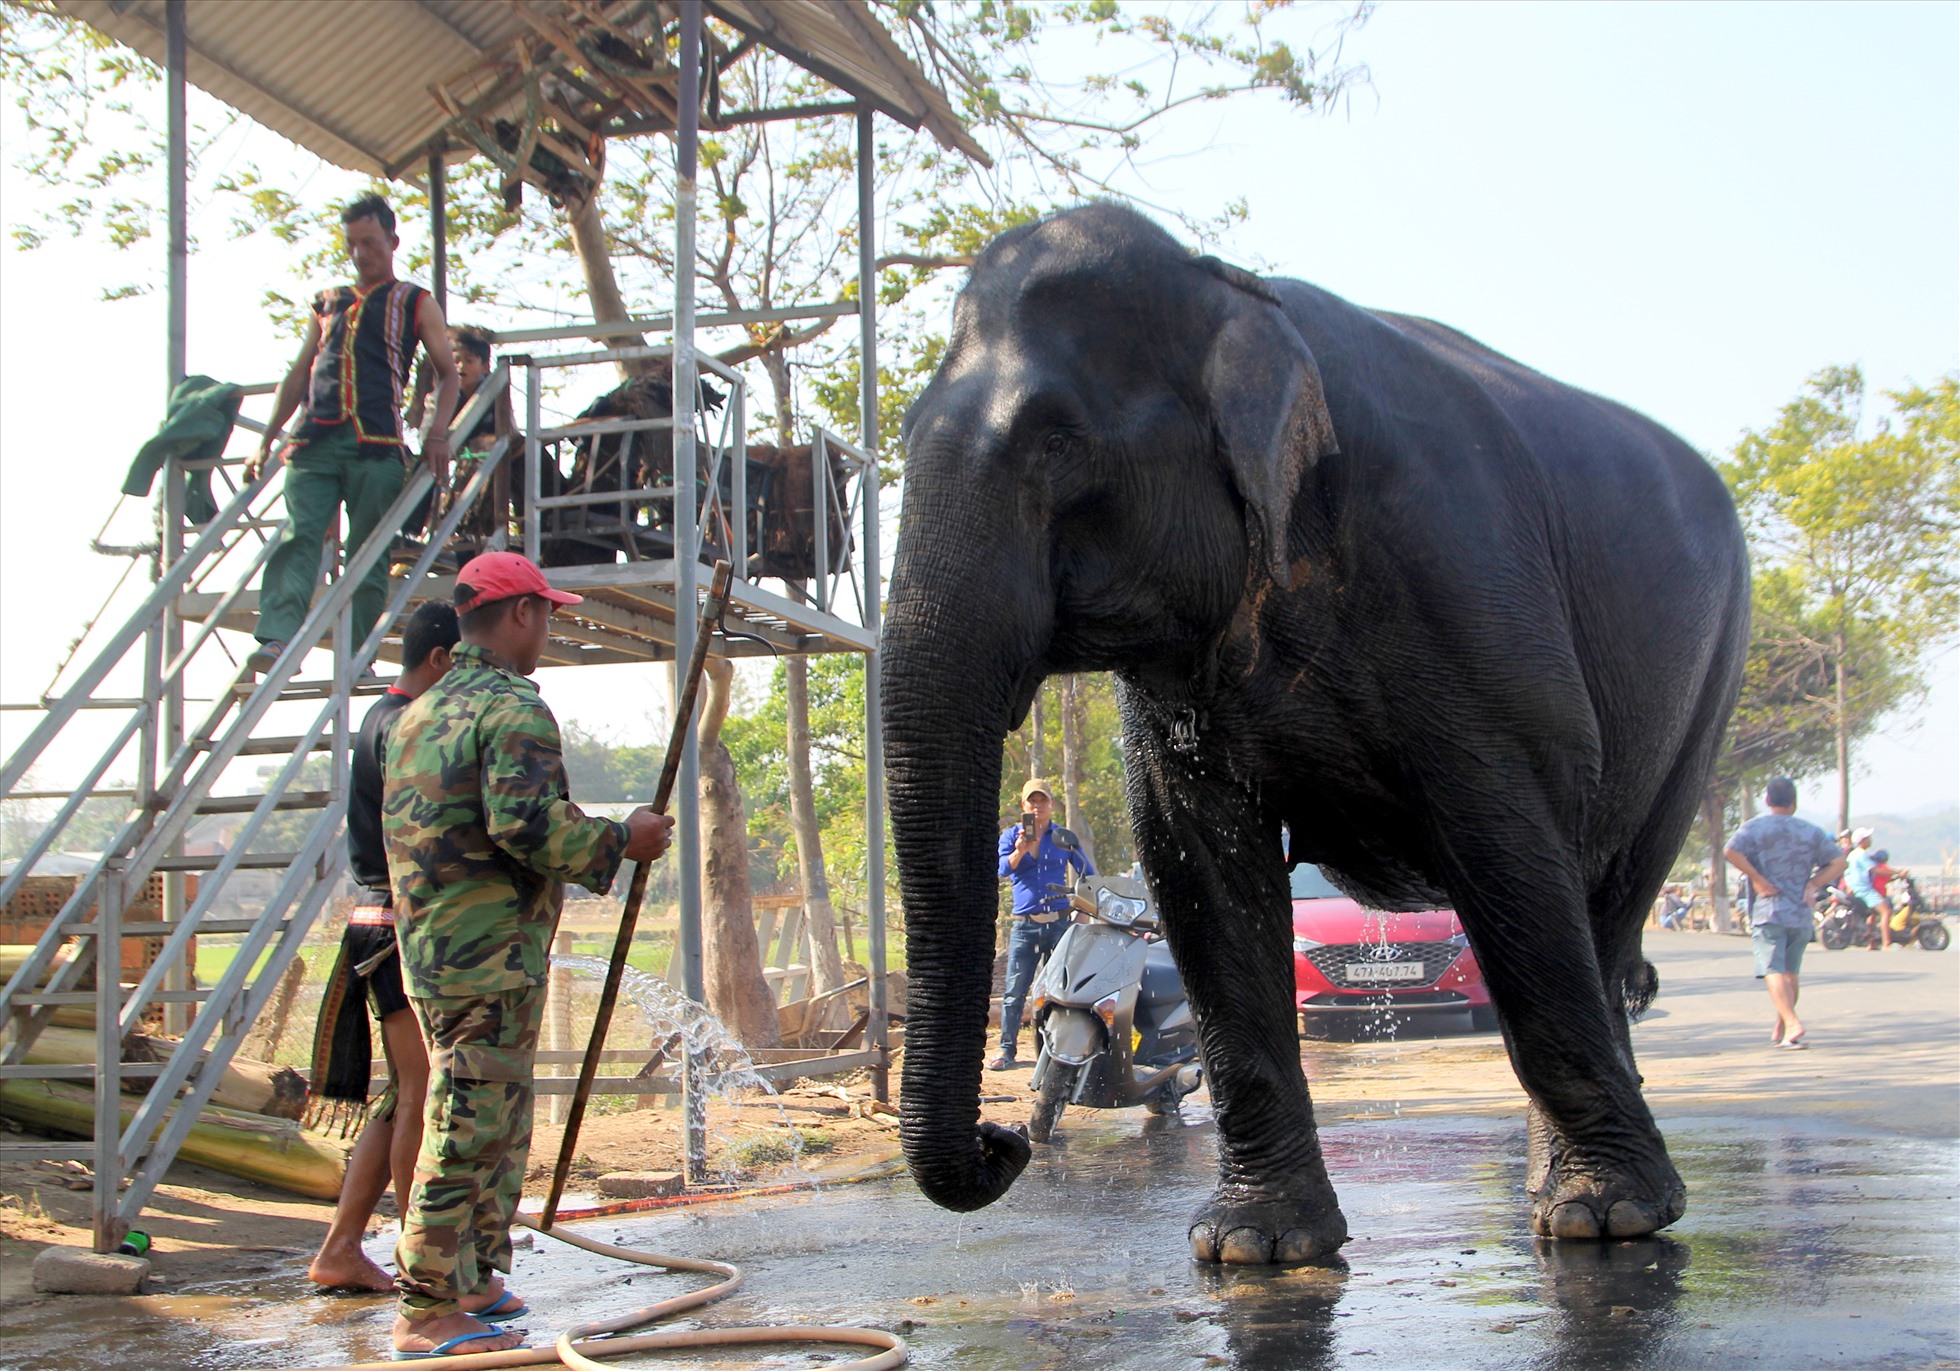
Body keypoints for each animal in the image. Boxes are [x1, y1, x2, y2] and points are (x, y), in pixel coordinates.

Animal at [882, 201, 1756, 1263]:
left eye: (1055, 442)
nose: (1003, 1137)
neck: (1233, 290)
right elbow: (1196, 862)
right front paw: (1252, 1247)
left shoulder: (1467, 578)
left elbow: (1503, 835)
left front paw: (1613, 1215)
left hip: (1710, 679)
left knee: (1604, 904)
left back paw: (1598, 1214)